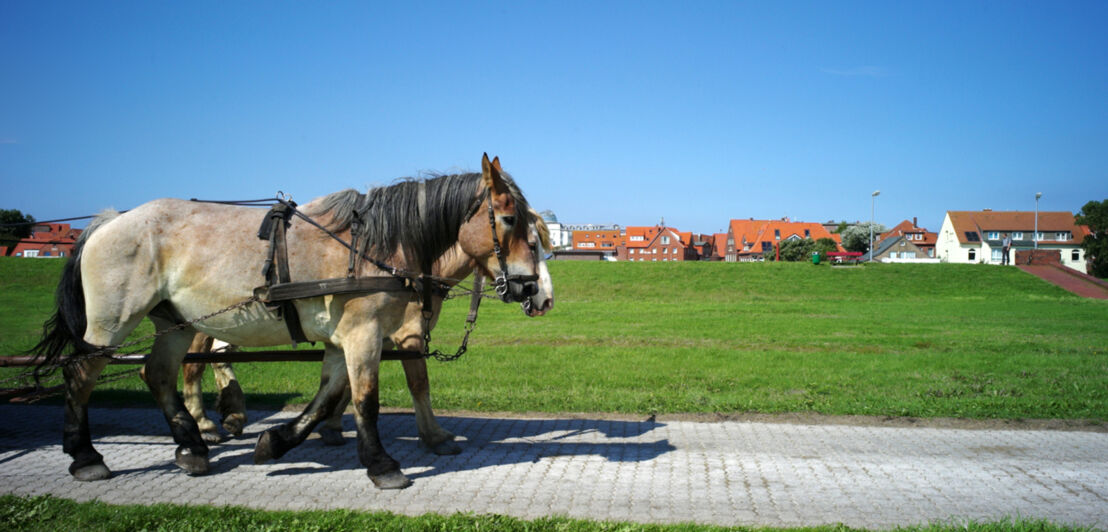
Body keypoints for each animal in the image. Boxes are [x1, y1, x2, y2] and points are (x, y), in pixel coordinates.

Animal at [32, 151, 551, 487]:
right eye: (508, 218)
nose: (533, 290)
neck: (379, 247)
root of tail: (111, 219)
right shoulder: (365, 334)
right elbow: (367, 399)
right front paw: (382, 463)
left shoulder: (346, 339)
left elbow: (326, 399)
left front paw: (275, 442)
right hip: (111, 323)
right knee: (81, 376)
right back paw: (87, 456)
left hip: (174, 323)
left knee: (158, 373)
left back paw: (192, 447)